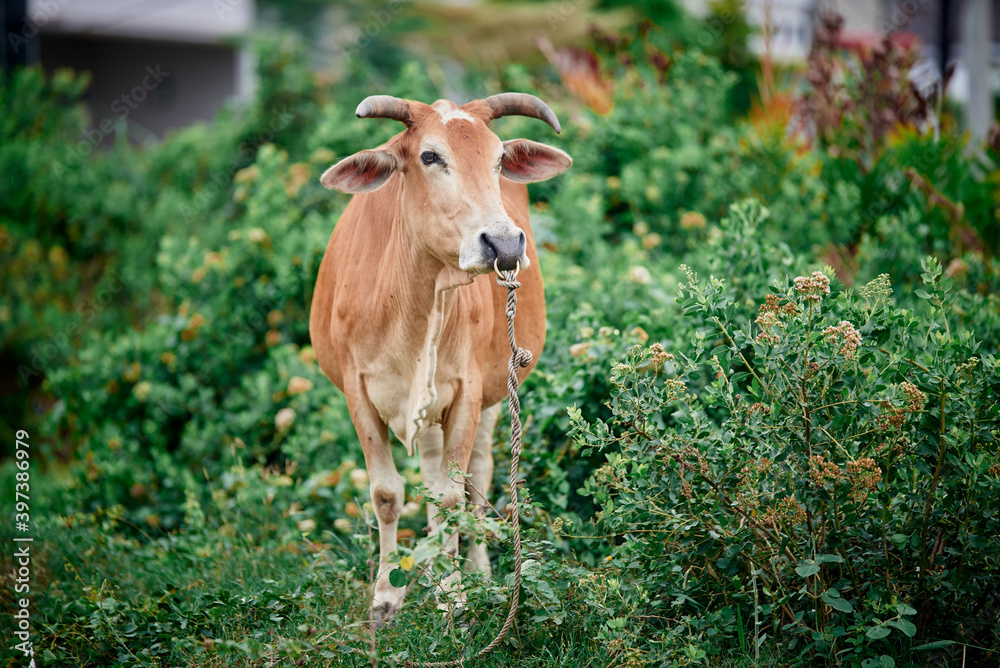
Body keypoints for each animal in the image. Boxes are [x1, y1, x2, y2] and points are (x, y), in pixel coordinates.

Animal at [310, 91, 572, 624]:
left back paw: (474, 570)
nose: (505, 244)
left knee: (478, 481)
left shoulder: (469, 391)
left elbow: (455, 495)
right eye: (430, 156)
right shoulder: (357, 391)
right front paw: (387, 594)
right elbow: (387, 493)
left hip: (491, 396)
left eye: (498, 159)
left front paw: (455, 594)